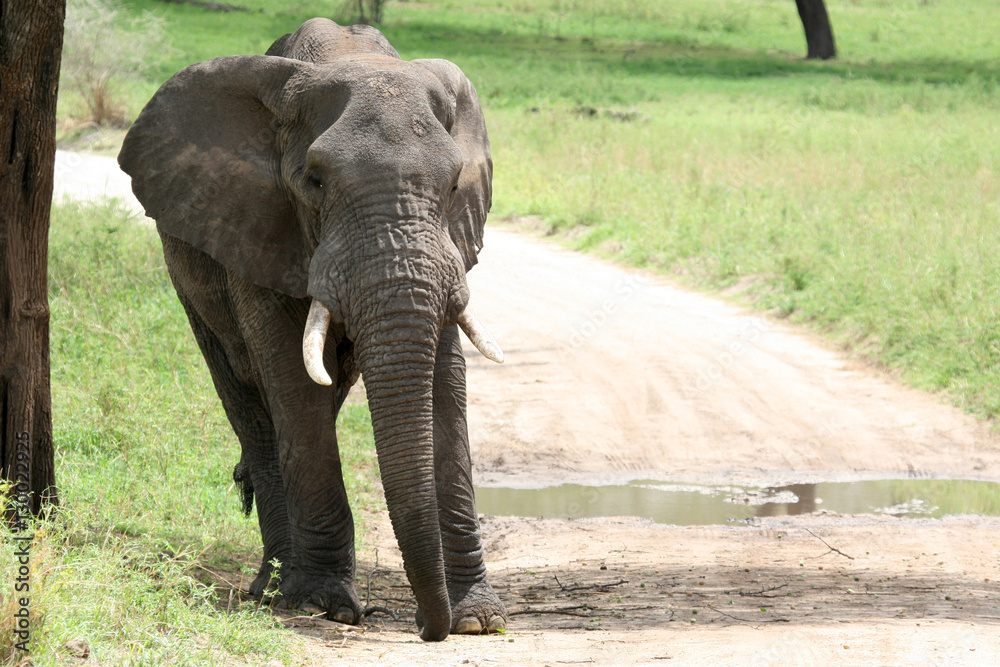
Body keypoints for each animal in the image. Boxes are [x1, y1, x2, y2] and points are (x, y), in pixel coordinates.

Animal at [118, 18, 507, 641]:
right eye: (315, 181)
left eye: (452, 186)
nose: (429, 627)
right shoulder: (256, 224)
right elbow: (291, 382)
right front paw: (321, 605)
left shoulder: (450, 249)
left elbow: (444, 381)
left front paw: (477, 620)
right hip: (192, 284)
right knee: (251, 404)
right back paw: (272, 588)